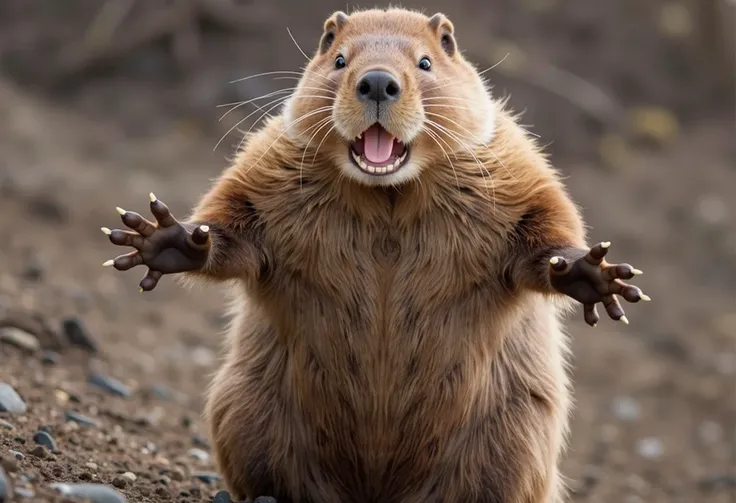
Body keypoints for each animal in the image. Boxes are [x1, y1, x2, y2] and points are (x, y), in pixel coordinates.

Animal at [102, 7, 648, 503]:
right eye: (339, 57)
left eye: (427, 60)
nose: (379, 82)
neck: (389, 194)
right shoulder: (269, 158)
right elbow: (236, 220)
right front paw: (162, 237)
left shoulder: (510, 160)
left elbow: (545, 223)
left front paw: (596, 274)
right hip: (244, 405)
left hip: (514, 437)